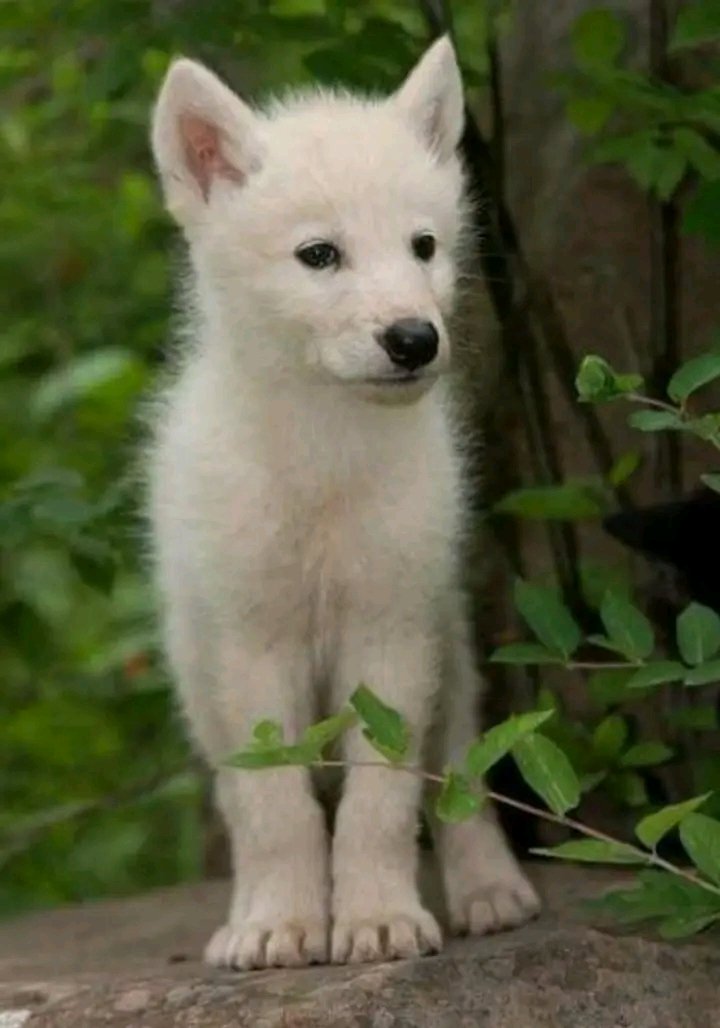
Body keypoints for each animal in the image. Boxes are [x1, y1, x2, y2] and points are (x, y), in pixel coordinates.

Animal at [147, 35, 540, 970]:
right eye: (319, 255)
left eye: (424, 245)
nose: (414, 339)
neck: (328, 455)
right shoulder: (254, 646)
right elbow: (278, 809)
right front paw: (283, 924)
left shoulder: (391, 633)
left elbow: (380, 801)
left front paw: (377, 918)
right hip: (198, 671)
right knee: (239, 803)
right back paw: (244, 914)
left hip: (450, 649)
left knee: (463, 773)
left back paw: (488, 889)